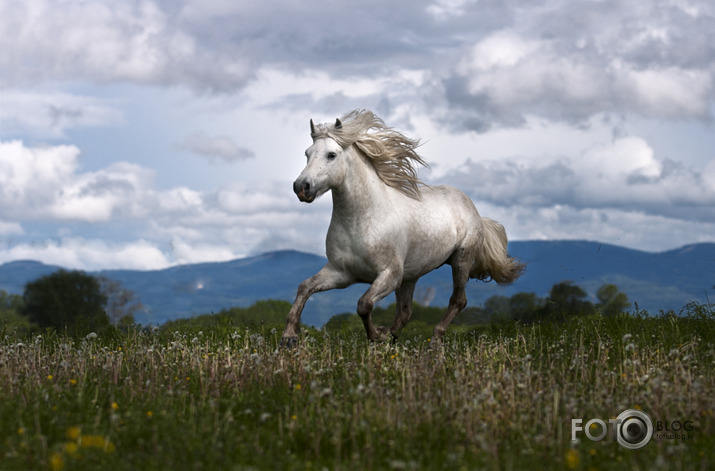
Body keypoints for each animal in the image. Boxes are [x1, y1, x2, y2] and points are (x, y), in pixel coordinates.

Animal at [282, 110, 524, 346]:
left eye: (331, 155)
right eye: (307, 153)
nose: (301, 187)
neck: (362, 221)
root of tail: (473, 210)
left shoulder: (390, 275)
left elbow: (364, 304)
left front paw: (377, 335)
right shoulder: (341, 273)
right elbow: (305, 287)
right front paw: (289, 336)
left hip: (460, 260)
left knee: (458, 300)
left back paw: (434, 339)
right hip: (410, 277)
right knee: (405, 311)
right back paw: (393, 337)